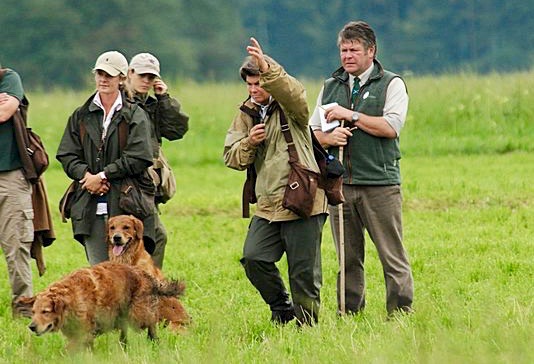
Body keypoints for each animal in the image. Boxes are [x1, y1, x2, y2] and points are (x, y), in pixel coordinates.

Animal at [15, 262, 183, 350]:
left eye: (46, 311)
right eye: (33, 312)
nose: (32, 327)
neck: (71, 298)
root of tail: (147, 276)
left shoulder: (84, 331)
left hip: (137, 314)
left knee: (151, 322)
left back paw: (153, 340)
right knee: (125, 331)